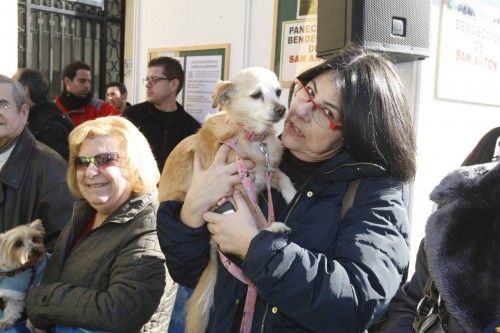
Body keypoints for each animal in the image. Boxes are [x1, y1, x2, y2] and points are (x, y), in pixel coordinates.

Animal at [158, 66, 294, 330]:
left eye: (278, 92)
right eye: (256, 95)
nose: (282, 109)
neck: (252, 137)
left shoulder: (264, 172)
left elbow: (282, 176)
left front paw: (292, 193)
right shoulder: (239, 186)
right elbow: (256, 212)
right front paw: (269, 227)